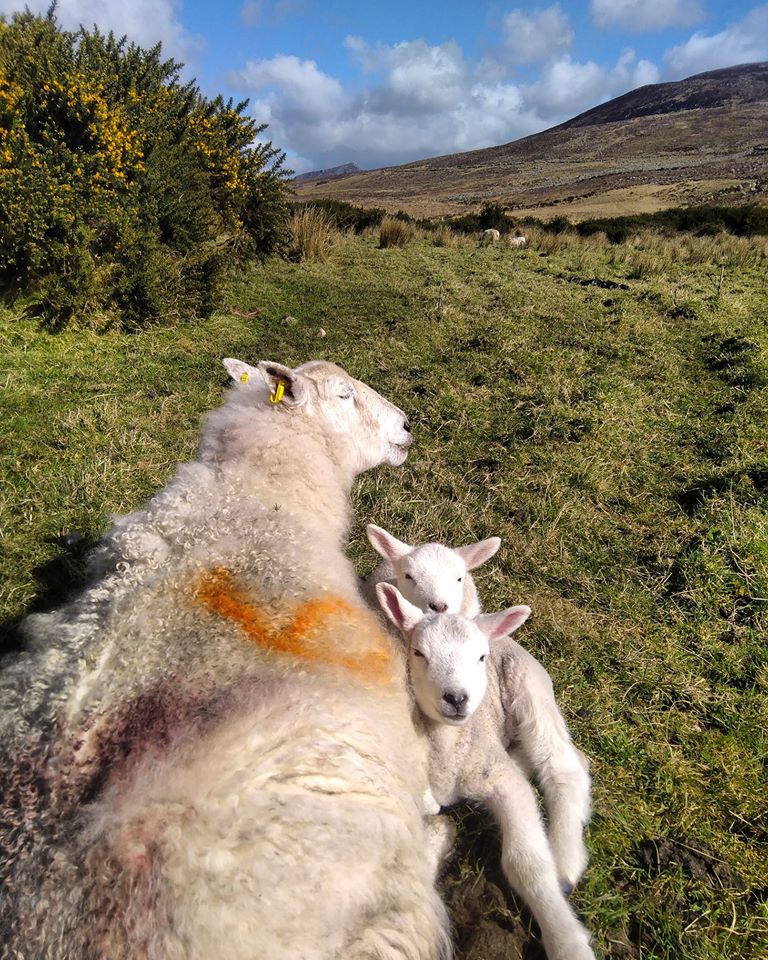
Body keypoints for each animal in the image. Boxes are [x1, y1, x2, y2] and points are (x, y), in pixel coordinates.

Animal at [376, 580, 592, 960]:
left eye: (480, 657)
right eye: (418, 653)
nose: (456, 698)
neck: (446, 752)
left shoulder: (503, 781)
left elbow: (526, 863)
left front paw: (567, 941)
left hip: (529, 687)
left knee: (562, 764)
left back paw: (565, 862)